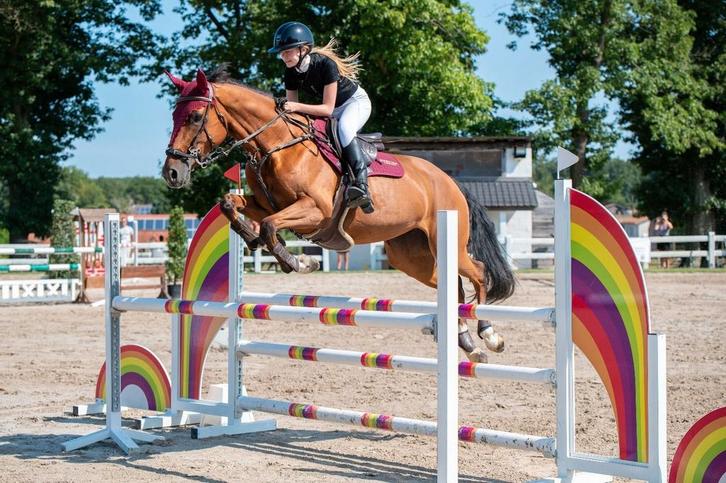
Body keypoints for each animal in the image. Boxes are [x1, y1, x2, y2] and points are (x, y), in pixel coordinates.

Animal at [161, 67, 515, 362]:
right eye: (174, 115)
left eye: (195, 116)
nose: (172, 173)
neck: (276, 145)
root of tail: (450, 181)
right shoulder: (266, 205)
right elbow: (230, 204)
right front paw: (253, 239)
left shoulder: (315, 210)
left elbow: (270, 227)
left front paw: (298, 262)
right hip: (411, 256)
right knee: (453, 286)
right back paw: (467, 343)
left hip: (448, 242)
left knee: (479, 273)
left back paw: (489, 334)